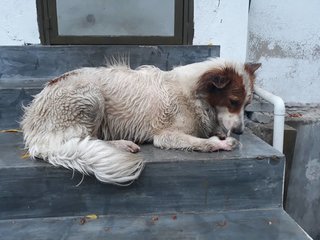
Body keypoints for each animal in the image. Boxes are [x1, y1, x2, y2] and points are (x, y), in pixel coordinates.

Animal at [20, 58, 260, 186]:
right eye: (233, 101)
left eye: (247, 103)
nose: (240, 131)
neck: (195, 94)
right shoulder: (165, 136)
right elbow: (201, 142)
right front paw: (222, 143)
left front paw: (221, 134)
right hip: (91, 95)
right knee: (83, 139)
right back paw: (121, 144)